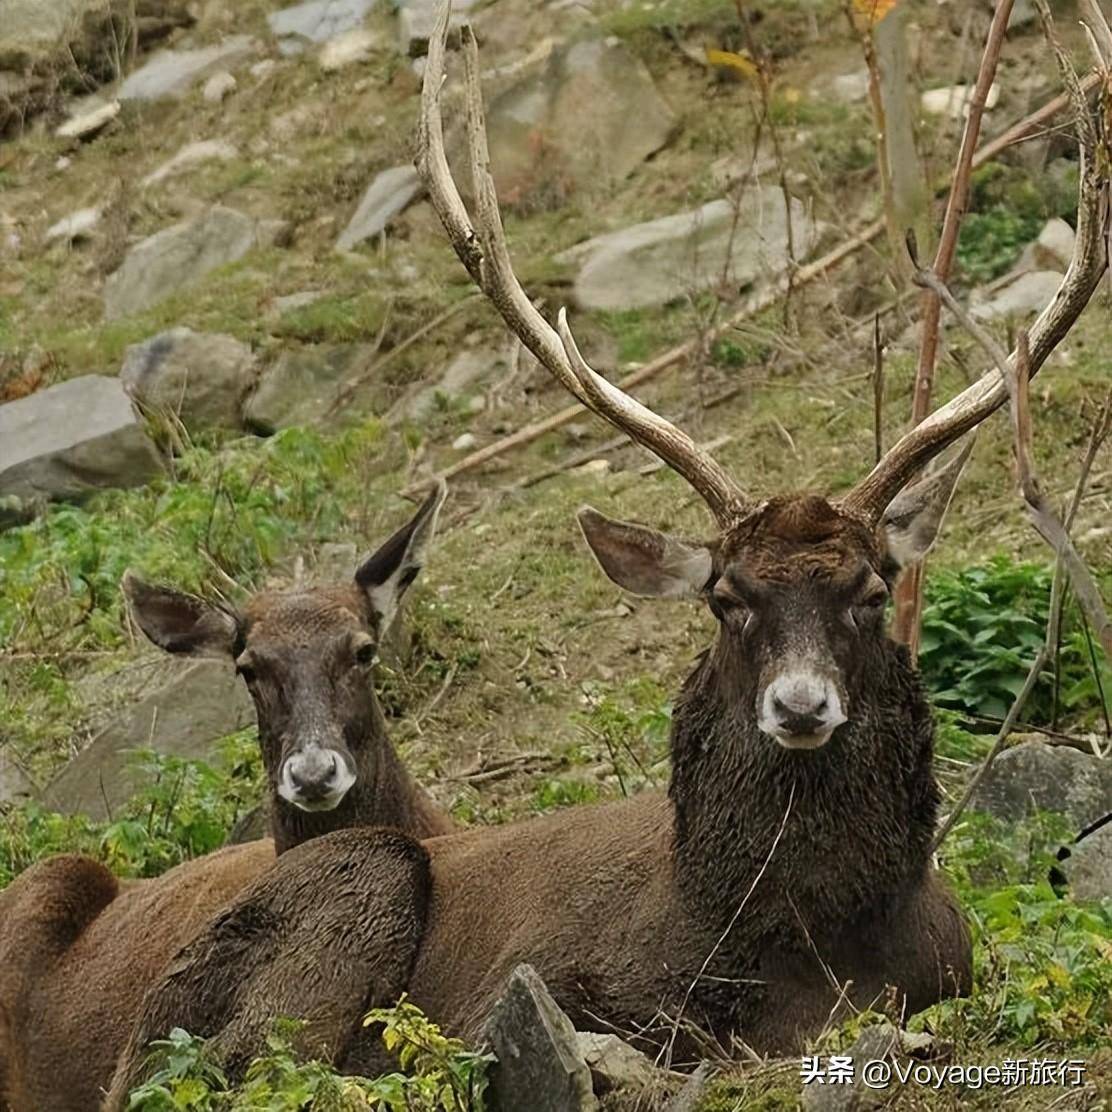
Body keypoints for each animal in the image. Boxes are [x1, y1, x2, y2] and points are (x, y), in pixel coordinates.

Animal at [102, 6, 1103, 1103]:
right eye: (725, 598)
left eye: (873, 588)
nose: (799, 705)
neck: (814, 956)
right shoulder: (554, 985)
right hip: (346, 888)